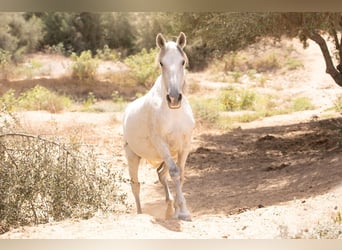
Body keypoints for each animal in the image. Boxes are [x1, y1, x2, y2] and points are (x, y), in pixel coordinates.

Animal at [123, 31, 195, 221]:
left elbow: (181, 174)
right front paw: (182, 212)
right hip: (132, 156)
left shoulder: (185, 145)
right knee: (136, 186)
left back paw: (169, 207)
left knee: (161, 174)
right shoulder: (161, 144)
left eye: (182, 61)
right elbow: (175, 172)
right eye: (162, 63)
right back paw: (141, 213)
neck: (173, 113)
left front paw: (179, 210)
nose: (174, 98)